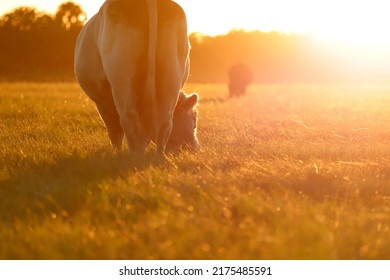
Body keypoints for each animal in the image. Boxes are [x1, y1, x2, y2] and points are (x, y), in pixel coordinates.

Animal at [75, 0, 200, 155]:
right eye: (194, 121)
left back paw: (135, 156)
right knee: (164, 121)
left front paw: (116, 153)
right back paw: (158, 156)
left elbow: (114, 131)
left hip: (121, 77)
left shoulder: (103, 103)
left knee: (129, 118)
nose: (195, 148)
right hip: (171, 72)